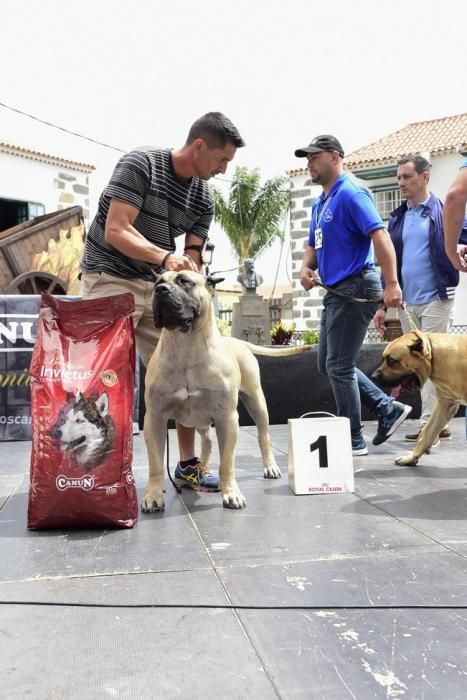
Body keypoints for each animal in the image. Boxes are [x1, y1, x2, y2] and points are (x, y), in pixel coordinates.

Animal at [141, 270, 312, 512]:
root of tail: (239, 341)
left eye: (184, 281)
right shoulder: (154, 419)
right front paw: (153, 494)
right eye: (157, 282)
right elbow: (155, 463)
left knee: (264, 436)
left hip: (256, 402)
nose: (160, 290)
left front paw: (231, 493)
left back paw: (270, 466)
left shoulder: (227, 419)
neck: (185, 346)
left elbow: (227, 463)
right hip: (198, 419)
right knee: (207, 442)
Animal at [372, 330, 467, 464]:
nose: (373, 377)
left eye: (392, 360)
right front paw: (411, 457)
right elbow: (426, 433)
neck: (435, 356)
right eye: (383, 359)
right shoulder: (445, 405)